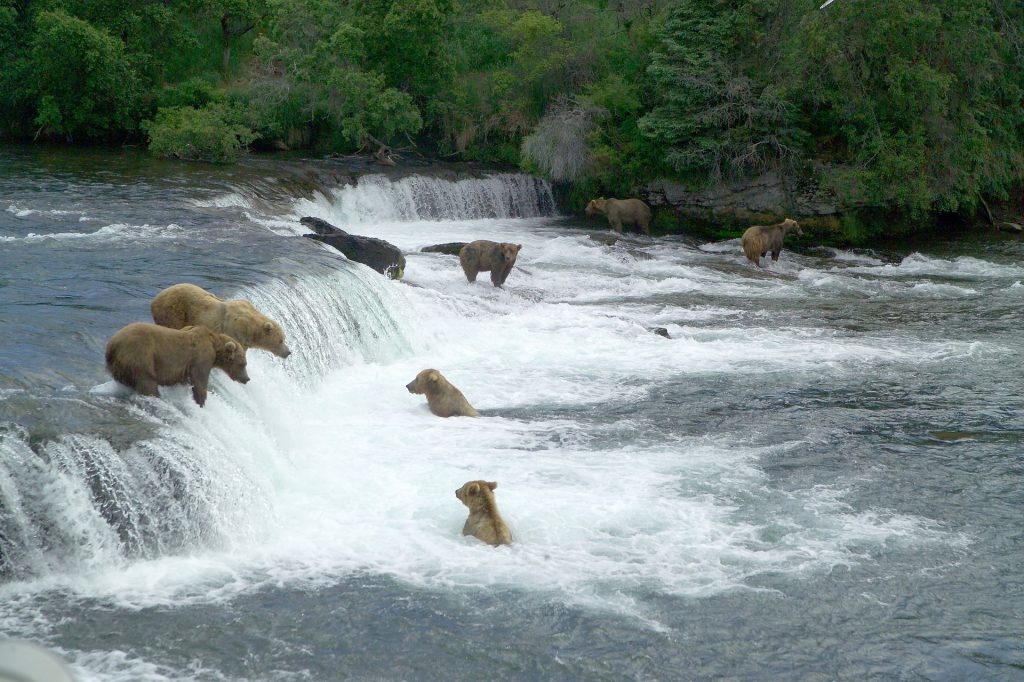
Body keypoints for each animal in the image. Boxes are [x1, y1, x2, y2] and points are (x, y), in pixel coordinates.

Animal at [104, 321, 249, 405]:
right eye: (243, 364)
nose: (247, 378)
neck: (214, 345)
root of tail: (112, 344)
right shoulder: (201, 357)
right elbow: (199, 379)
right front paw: (201, 400)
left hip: (120, 365)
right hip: (140, 355)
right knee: (147, 382)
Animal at [150, 280, 292, 358]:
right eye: (281, 340)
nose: (288, 352)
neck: (251, 330)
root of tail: (155, 299)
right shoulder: (236, 331)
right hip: (173, 311)